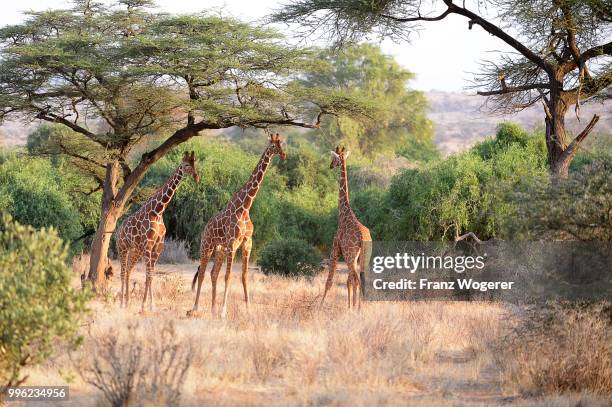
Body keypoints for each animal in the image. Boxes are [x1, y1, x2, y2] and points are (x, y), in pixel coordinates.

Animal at [115, 151, 198, 314]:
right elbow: (148, 274)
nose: (197, 176)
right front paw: (146, 305)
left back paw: (127, 301)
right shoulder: (149, 245)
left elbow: (151, 275)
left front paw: (150, 305)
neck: (158, 211)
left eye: (194, 163)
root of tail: (119, 230)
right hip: (123, 248)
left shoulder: (157, 246)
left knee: (128, 270)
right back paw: (121, 303)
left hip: (136, 250)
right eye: (186, 165)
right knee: (122, 271)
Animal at [189, 134, 286, 318]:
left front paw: (248, 310)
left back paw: (212, 309)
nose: (284, 155)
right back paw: (195, 308)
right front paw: (223, 312)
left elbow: (244, 276)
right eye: (273, 145)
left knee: (213, 273)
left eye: (282, 143)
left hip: (220, 250)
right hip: (207, 246)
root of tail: (205, 228)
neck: (245, 207)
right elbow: (228, 276)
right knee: (202, 273)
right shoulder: (233, 243)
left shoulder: (247, 243)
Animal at [320, 147, 372, 310]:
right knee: (360, 278)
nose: (331, 165)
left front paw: (319, 305)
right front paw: (350, 306)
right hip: (363, 257)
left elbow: (330, 280)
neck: (344, 211)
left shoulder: (335, 248)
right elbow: (348, 281)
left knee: (356, 279)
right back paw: (359, 307)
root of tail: (363, 238)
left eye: (335, 158)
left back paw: (358, 308)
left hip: (350, 255)